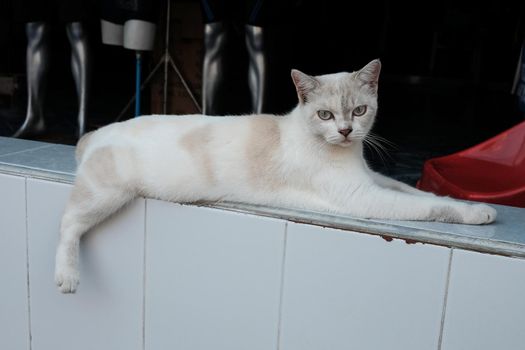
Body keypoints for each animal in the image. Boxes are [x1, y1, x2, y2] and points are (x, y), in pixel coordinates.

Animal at [56, 59, 496, 292]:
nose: (346, 131)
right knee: (68, 224)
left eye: (359, 111)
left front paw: (467, 201)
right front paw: (480, 213)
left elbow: (420, 192)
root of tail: (97, 132)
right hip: (105, 195)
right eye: (325, 115)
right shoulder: (364, 197)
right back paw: (67, 276)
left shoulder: (375, 181)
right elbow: (430, 208)